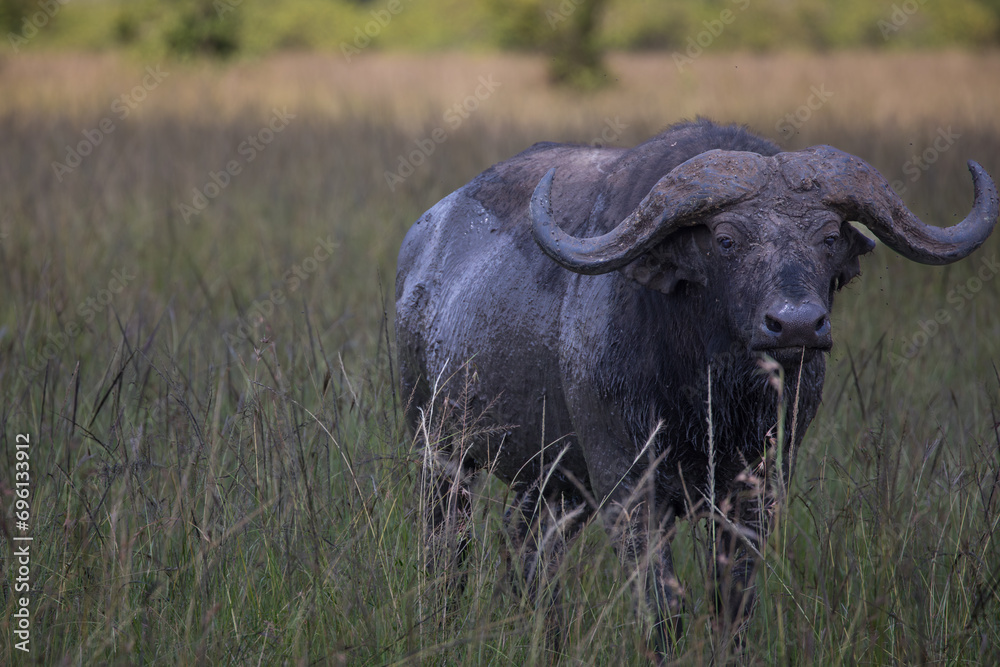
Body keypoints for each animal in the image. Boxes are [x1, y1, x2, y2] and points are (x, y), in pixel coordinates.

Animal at [394, 119, 998, 649]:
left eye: (828, 237)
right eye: (726, 240)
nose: (797, 324)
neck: (709, 395)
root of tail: (422, 241)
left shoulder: (757, 488)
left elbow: (734, 601)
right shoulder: (628, 485)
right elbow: (662, 605)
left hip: (553, 476)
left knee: (527, 542)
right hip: (439, 448)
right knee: (446, 548)